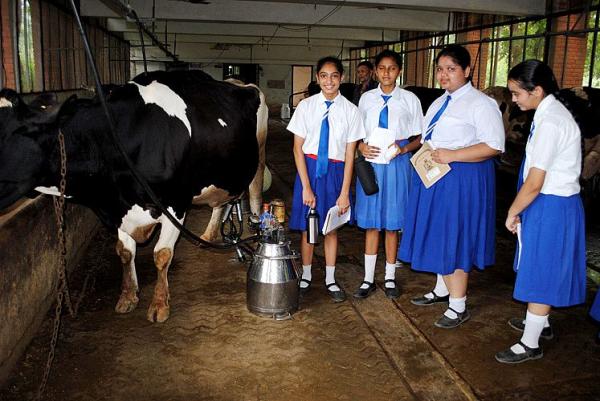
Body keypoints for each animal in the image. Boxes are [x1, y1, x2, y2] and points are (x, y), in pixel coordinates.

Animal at [0, 69, 268, 322]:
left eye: (10, 133)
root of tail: (240, 84)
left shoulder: (174, 204)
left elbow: (162, 254)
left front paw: (159, 305)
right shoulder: (121, 208)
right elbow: (124, 251)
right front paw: (128, 297)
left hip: (258, 158)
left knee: (255, 199)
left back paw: (258, 240)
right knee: (221, 204)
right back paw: (209, 235)